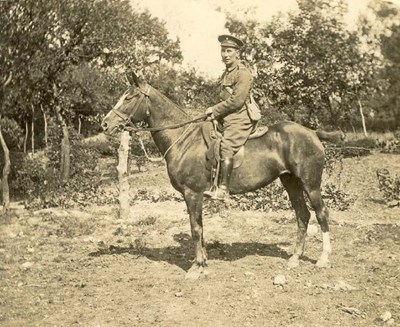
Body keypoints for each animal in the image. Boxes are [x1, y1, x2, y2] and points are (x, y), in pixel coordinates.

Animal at [101, 76, 340, 276]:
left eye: (129, 97)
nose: (104, 123)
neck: (184, 139)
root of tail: (312, 132)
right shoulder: (194, 196)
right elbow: (199, 227)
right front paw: (202, 262)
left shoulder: (192, 193)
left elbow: (195, 228)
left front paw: (196, 267)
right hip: (291, 182)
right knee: (303, 215)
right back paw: (295, 258)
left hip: (311, 184)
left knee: (321, 213)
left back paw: (323, 258)